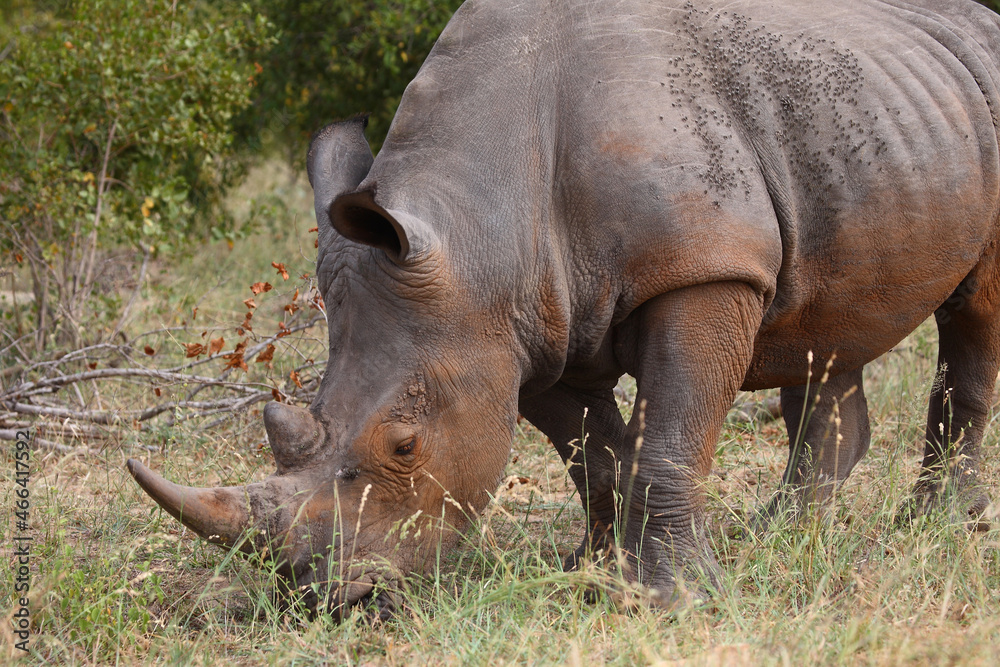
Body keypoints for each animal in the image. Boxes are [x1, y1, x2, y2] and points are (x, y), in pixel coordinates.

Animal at [127, 0, 1000, 617]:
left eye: (405, 445)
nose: (324, 595)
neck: (482, 220)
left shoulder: (704, 272)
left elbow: (667, 441)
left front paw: (676, 601)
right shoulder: (523, 328)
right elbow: (598, 455)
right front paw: (596, 571)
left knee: (974, 313)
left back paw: (932, 524)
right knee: (824, 330)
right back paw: (780, 533)